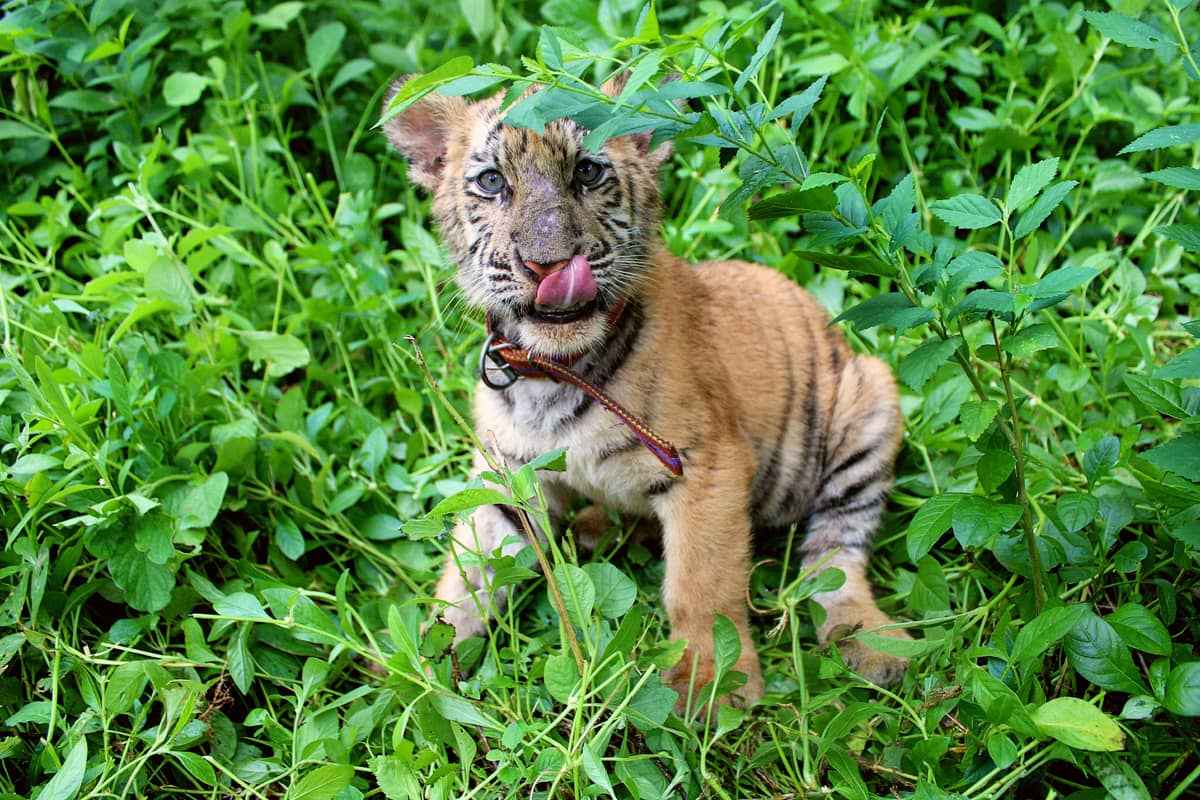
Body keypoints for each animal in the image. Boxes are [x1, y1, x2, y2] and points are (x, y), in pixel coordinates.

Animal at [382, 74, 911, 712]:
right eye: (491, 182)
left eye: (588, 172)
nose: (548, 265)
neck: (552, 373)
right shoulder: (509, 475)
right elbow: (469, 571)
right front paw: (421, 665)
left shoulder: (707, 467)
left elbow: (702, 584)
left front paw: (711, 687)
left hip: (869, 401)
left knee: (835, 554)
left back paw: (871, 642)